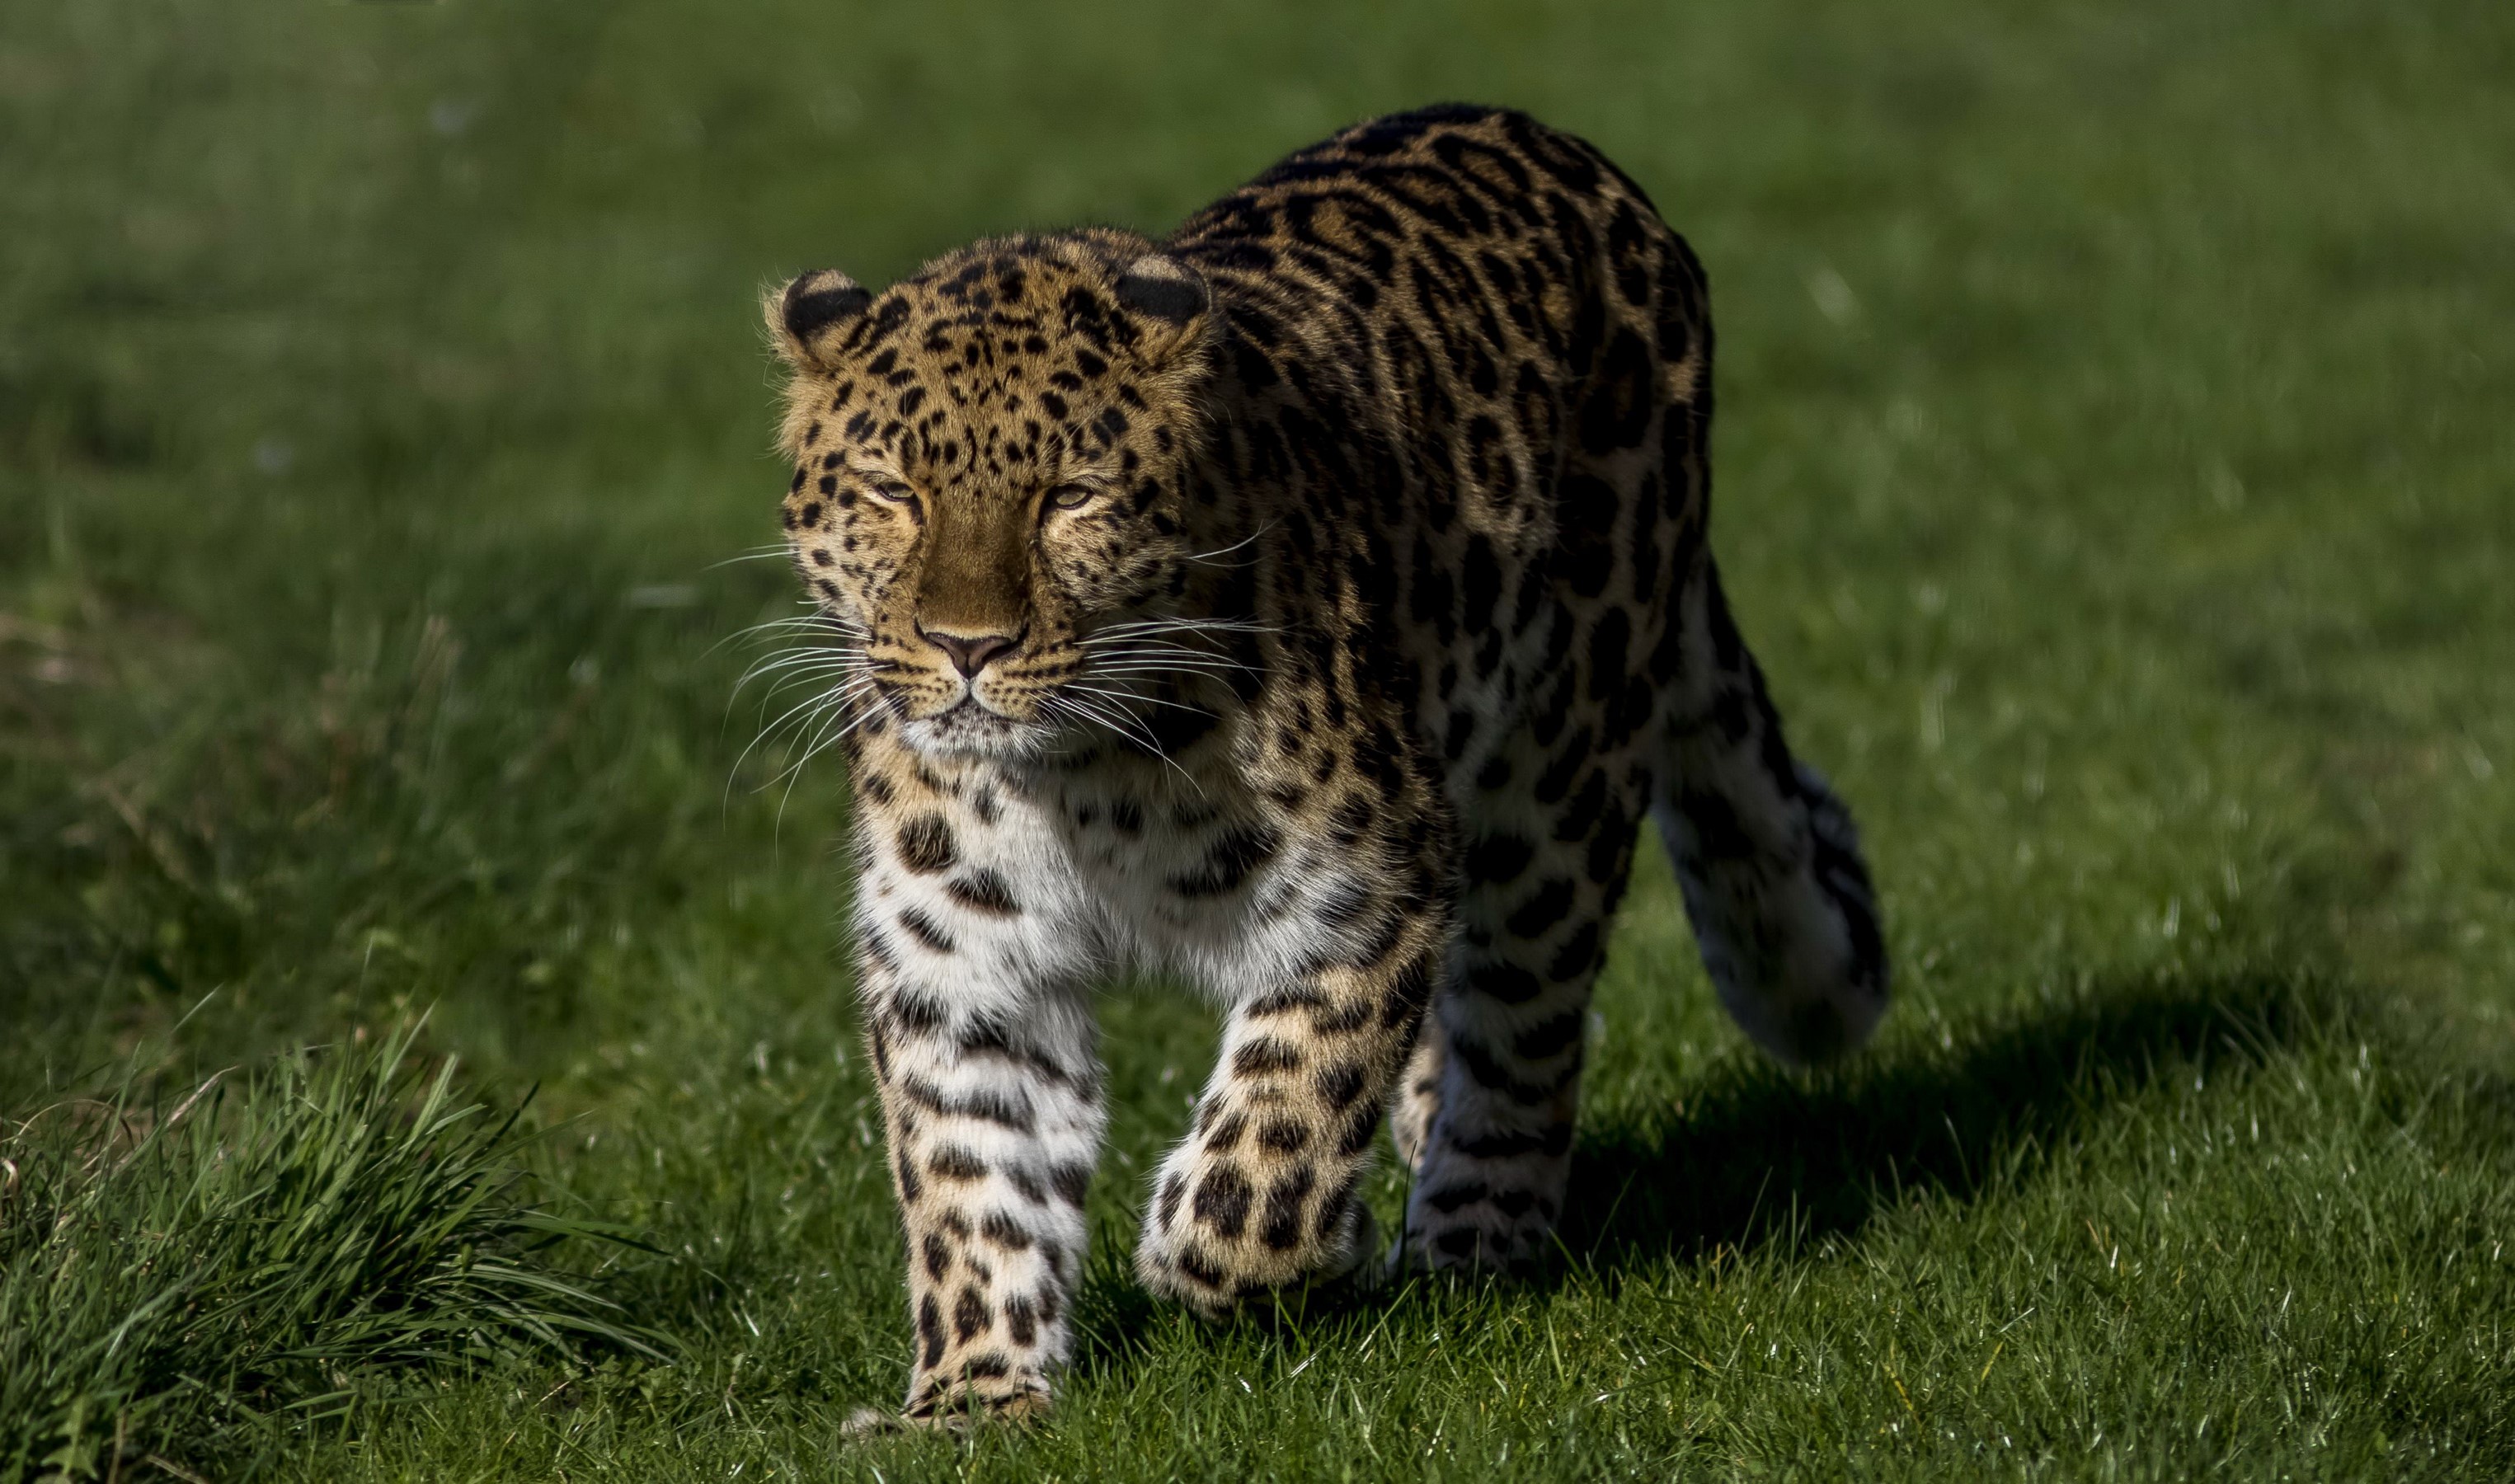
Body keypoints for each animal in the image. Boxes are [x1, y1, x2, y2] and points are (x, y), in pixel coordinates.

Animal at [759, 103, 1888, 1429]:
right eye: (891, 489)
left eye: (1068, 499)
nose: (967, 646)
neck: (1074, 781)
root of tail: (1565, 151)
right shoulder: (962, 960)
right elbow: (972, 1177)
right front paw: (976, 1397)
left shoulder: (1373, 879)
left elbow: (1284, 1119)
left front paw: (1228, 1241)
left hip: (1560, 767)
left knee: (1523, 1026)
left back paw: (1468, 1244)